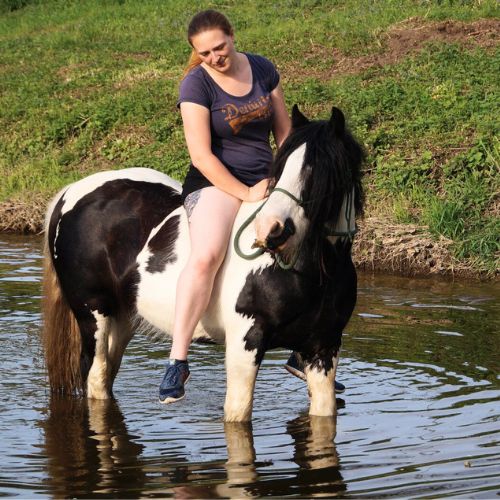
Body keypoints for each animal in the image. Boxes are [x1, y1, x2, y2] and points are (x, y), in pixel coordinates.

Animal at [43, 106, 364, 422]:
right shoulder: (245, 344)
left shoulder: (324, 348)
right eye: (281, 167)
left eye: (319, 169)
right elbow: (238, 413)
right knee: (96, 378)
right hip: (93, 314)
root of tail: (72, 192)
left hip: (122, 318)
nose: (270, 230)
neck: (309, 272)